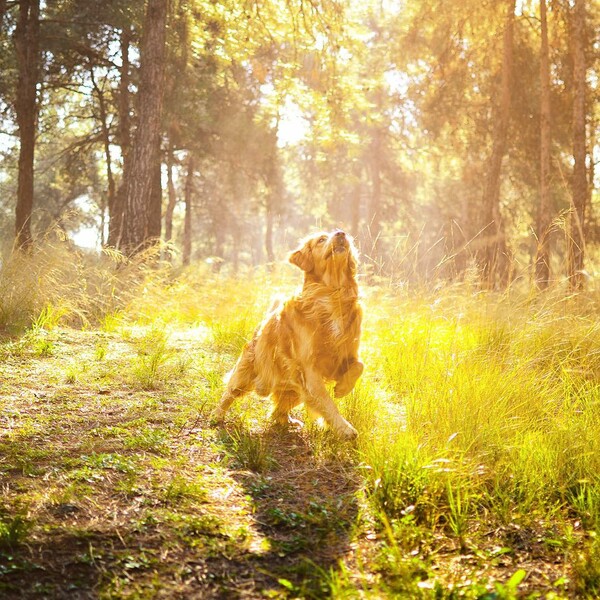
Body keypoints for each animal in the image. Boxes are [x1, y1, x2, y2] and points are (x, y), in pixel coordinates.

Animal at [212, 229, 360, 436]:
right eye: (321, 239)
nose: (341, 233)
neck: (331, 294)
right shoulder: (309, 369)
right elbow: (326, 401)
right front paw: (344, 428)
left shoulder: (345, 354)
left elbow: (359, 366)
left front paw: (343, 388)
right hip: (245, 374)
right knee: (229, 394)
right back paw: (216, 416)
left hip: (294, 388)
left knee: (277, 411)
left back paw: (289, 422)